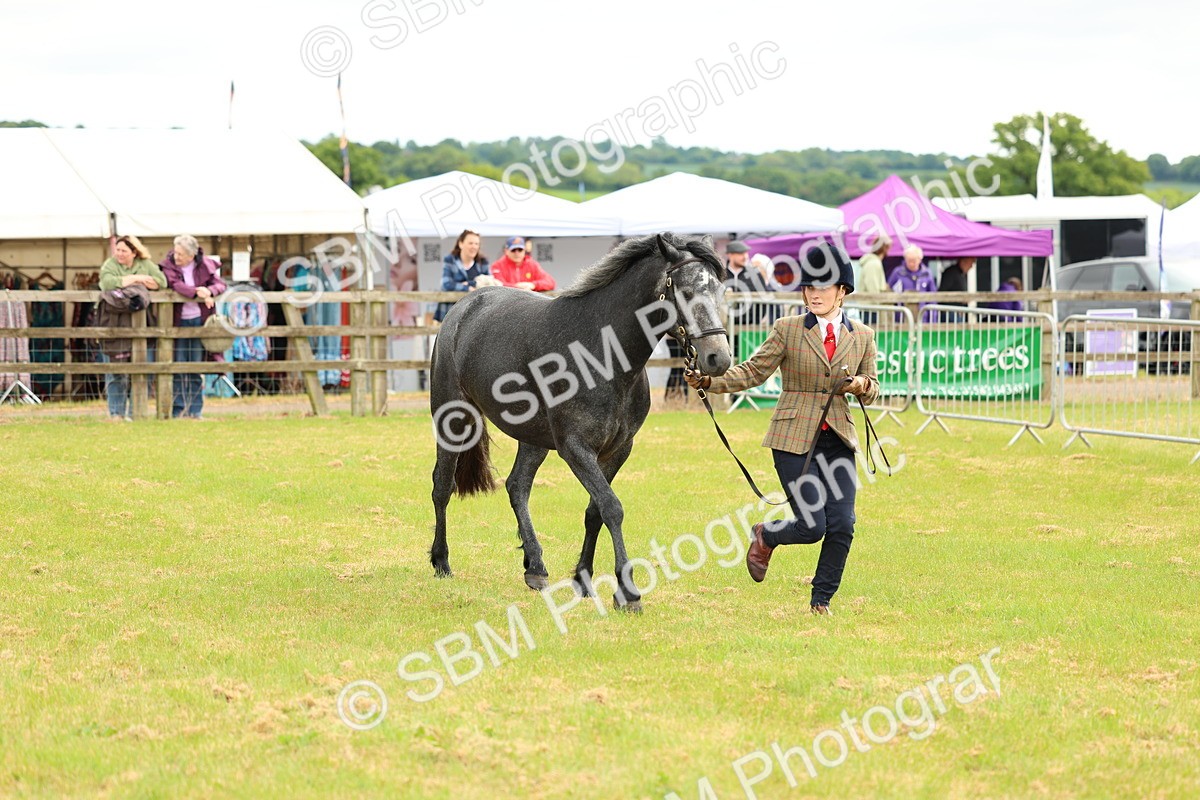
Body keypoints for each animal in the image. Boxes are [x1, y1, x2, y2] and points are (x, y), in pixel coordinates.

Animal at [428, 233, 732, 610]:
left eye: (719, 289)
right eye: (687, 291)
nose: (718, 357)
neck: (600, 353)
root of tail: (463, 308)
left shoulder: (618, 449)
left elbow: (595, 511)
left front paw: (583, 580)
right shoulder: (575, 448)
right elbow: (612, 507)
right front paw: (627, 592)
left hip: (533, 437)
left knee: (517, 486)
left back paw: (535, 567)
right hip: (453, 420)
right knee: (442, 486)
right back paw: (442, 562)